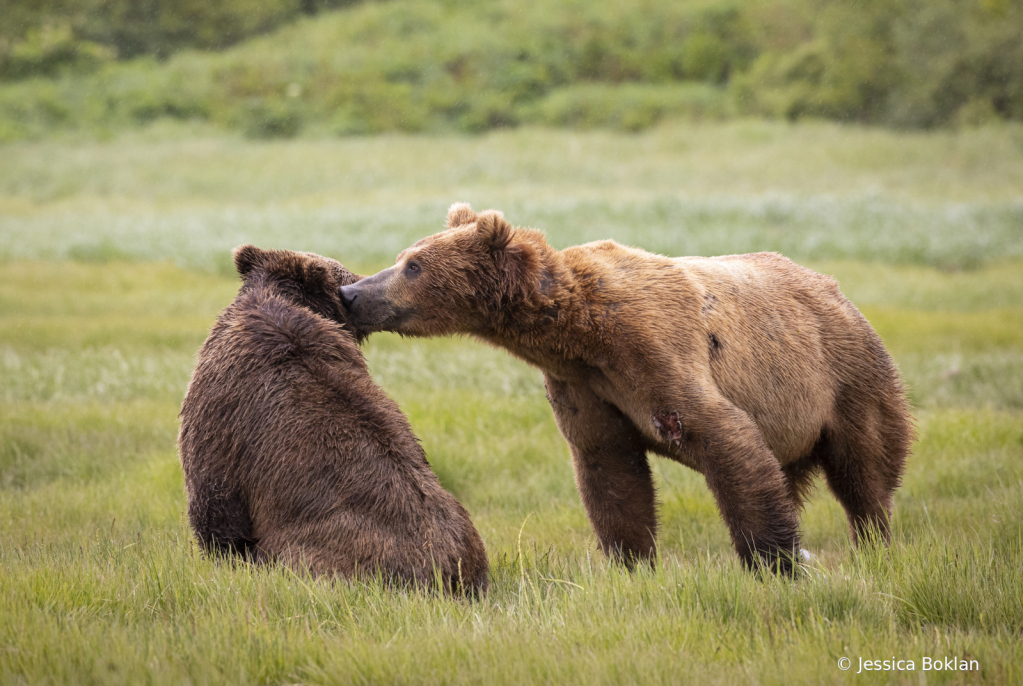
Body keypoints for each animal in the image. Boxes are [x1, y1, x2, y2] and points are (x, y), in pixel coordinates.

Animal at [339, 204, 916, 572]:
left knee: (863, 470)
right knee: (791, 475)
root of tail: (835, 290)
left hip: (844, 378)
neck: (579, 332)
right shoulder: (586, 386)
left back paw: (874, 543)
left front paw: (775, 558)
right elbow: (610, 471)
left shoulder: (657, 351)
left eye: (413, 265)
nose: (352, 292)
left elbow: (724, 437)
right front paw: (631, 561)